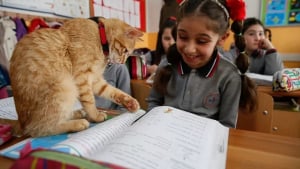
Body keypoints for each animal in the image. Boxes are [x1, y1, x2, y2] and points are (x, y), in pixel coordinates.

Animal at [8, 17, 144, 137]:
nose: (122, 62)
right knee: (39, 129)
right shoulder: (82, 77)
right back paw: (77, 124)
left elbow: (113, 91)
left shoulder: (95, 80)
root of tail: (21, 123)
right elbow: (90, 101)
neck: (100, 39)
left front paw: (130, 102)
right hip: (65, 86)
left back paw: (77, 114)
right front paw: (95, 115)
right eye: (125, 51)